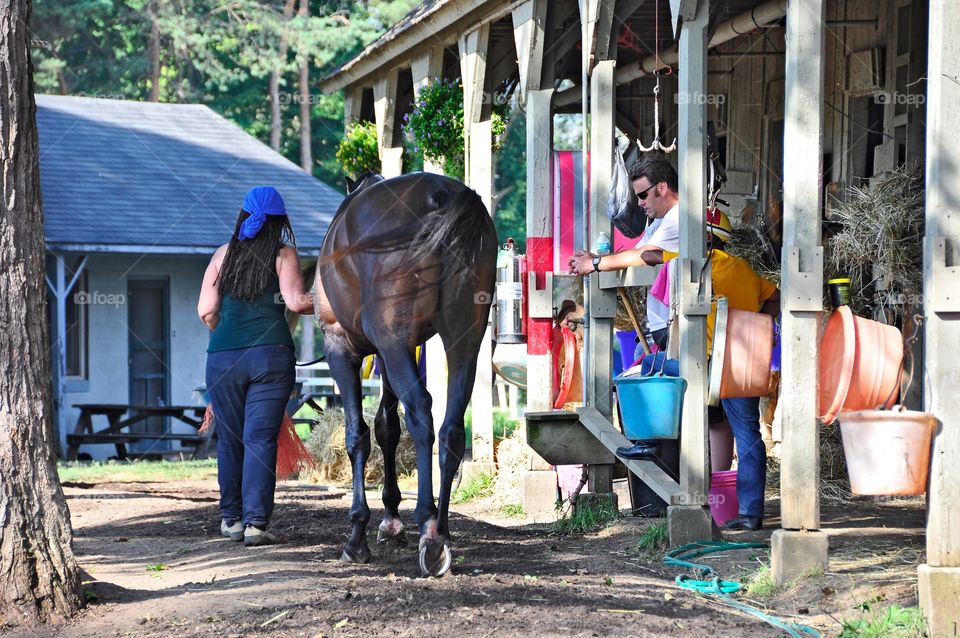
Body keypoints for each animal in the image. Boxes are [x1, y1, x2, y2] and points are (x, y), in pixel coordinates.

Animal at [316, 172, 498, 576]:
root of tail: (443, 195)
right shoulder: (390, 355)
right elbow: (387, 427)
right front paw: (390, 520)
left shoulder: (342, 347)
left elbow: (358, 435)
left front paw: (358, 535)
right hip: (464, 339)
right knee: (450, 428)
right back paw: (441, 529)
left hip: (395, 341)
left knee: (421, 414)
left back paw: (429, 529)